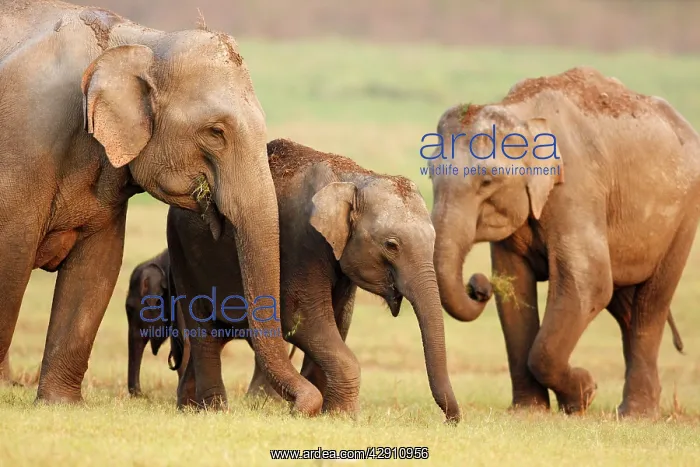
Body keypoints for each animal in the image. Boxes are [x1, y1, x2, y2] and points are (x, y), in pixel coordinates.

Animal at [0, 0, 321, 414]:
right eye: (215, 132)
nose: (304, 406)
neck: (138, 41)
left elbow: (97, 268)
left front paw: (60, 405)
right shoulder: (26, 138)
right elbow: (12, 255)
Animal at [164, 138, 461, 423]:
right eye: (391, 245)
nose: (451, 421)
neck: (353, 179)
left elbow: (339, 320)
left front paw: (330, 413)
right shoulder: (302, 241)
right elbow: (302, 319)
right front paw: (343, 416)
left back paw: (187, 407)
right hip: (181, 251)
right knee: (204, 333)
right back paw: (213, 410)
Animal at [426, 66, 700, 417]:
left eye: (486, 181)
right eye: (431, 174)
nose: (478, 286)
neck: (521, 114)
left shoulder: (576, 186)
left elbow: (588, 283)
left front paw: (584, 394)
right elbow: (513, 287)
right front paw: (530, 412)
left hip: (684, 217)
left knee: (650, 306)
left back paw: (636, 415)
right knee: (626, 308)